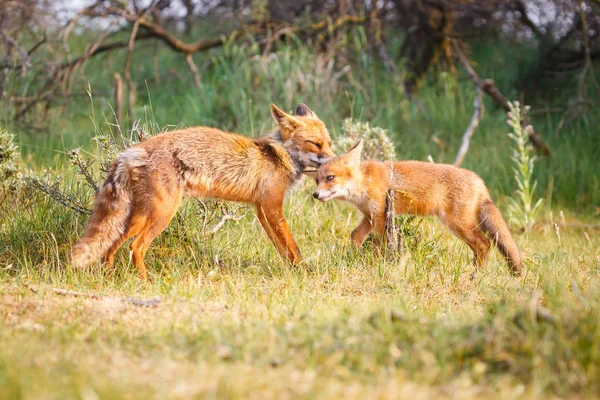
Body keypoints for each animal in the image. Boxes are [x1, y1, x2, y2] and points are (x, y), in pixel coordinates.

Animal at [70, 103, 336, 278]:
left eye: (330, 143)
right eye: (315, 144)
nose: (335, 160)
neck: (280, 155)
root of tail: (131, 150)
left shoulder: (261, 209)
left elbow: (281, 247)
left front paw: (292, 270)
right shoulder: (272, 206)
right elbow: (292, 245)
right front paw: (303, 271)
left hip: (137, 217)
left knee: (111, 246)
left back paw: (111, 277)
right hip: (161, 214)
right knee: (136, 247)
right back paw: (146, 282)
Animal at [312, 141, 524, 276]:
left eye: (330, 178)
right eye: (317, 180)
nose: (315, 194)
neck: (364, 183)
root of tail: (480, 181)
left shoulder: (380, 216)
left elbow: (379, 245)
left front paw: (376, 264)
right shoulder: (369, 216)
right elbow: (355, 236)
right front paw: (356, 257)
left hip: (458, 224)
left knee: (484, 244)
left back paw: (475, 274)